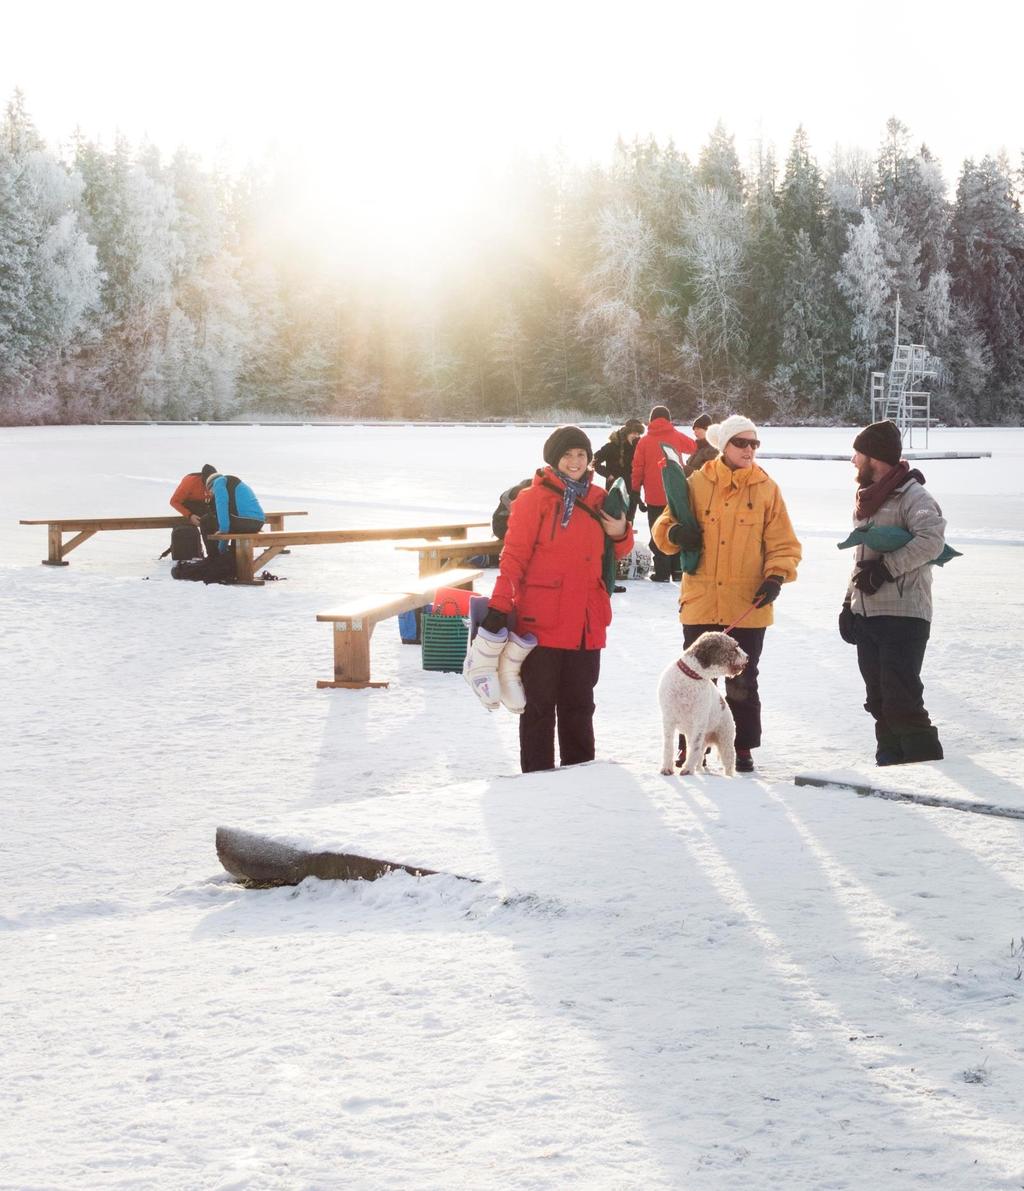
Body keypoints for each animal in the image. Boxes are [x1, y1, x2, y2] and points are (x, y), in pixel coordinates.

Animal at [662, 628, 747, 776]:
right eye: (734, 647)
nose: (747, 657)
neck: (691, 676)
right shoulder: (668, 719)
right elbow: (668, 746)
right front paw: (667, 768)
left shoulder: (699, 721)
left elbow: (694, 749)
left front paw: (687, 770)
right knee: (700, 757)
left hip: (725, 738)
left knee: (728, 763)